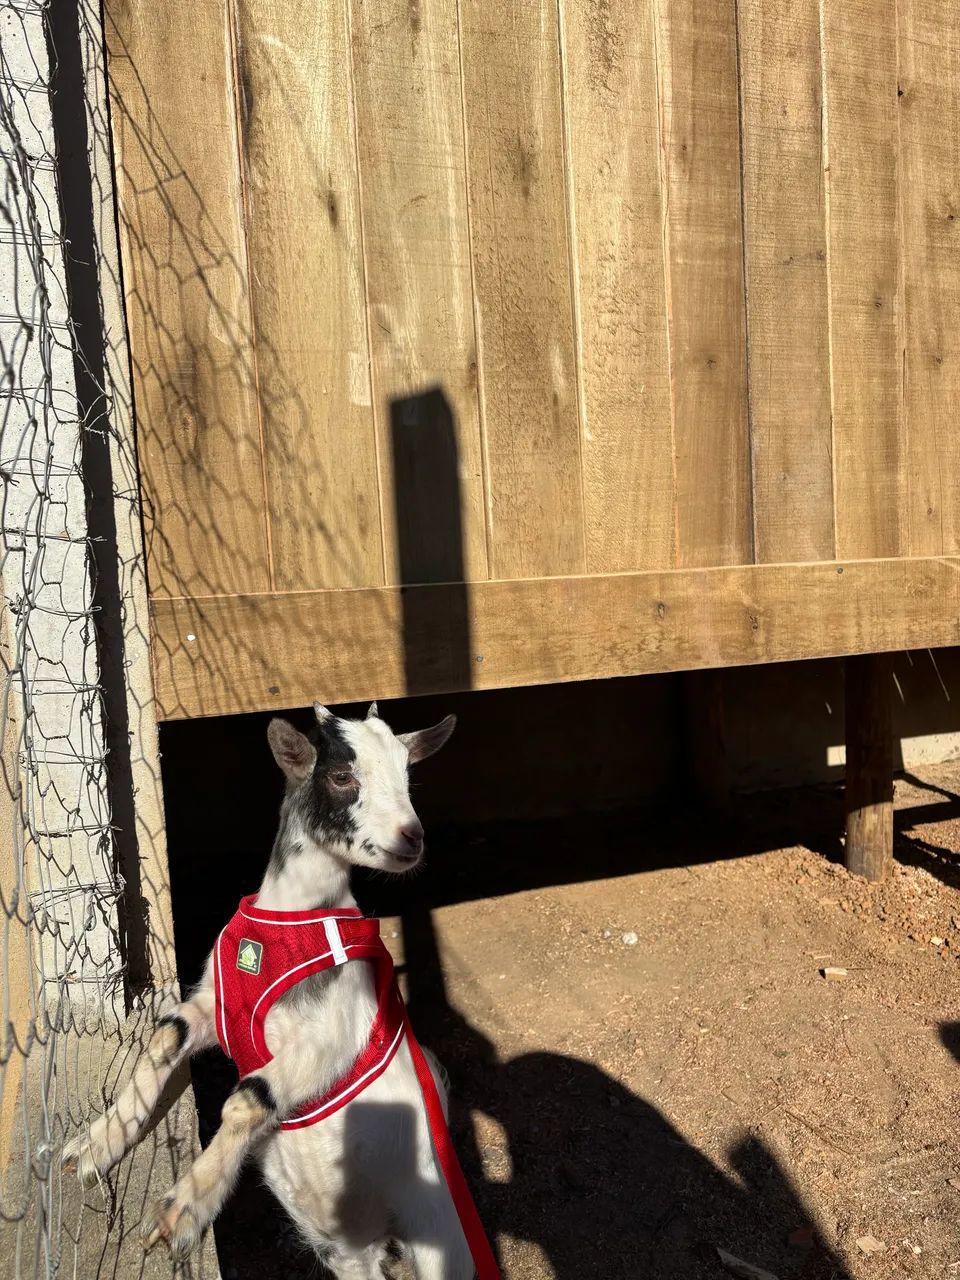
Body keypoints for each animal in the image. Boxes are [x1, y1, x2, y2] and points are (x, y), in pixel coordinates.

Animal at [64, 701, 493, 1280]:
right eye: (342, 776)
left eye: (408, 775)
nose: (412, 838)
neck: (288, 918)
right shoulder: (216, 1004)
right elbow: (165, 1036)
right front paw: (94, 1146)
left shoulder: (333, 1034)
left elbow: (250, 1096)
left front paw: (182, 1211)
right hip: (344, 1249)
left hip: (440, 1233)